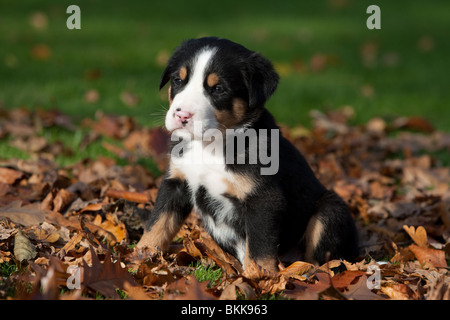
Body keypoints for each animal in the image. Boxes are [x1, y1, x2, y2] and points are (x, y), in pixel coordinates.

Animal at [137, 37, 358, 272]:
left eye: (218, 89)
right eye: (178, 80)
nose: (182, 115)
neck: (210, 145)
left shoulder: (263, 198)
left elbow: (259, 247)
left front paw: (258, 276)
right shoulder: (176, 182)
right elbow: (158, 223)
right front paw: (140, 256)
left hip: (330, 210)